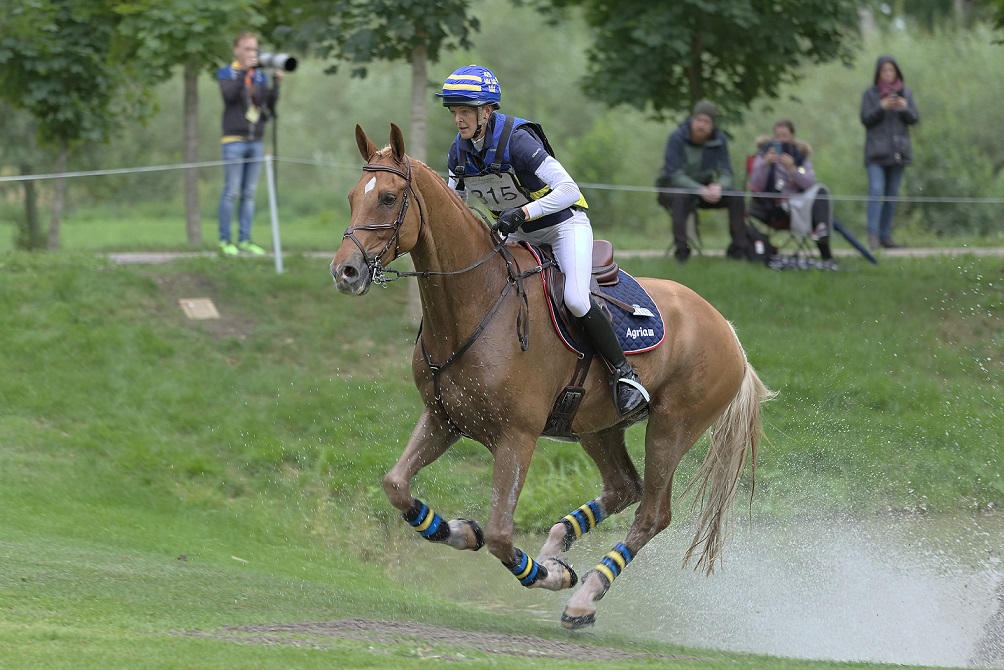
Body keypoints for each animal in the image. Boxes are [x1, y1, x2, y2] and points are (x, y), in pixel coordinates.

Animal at [333, 124, 771, 630]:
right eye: (352, 196)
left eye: (387, 198)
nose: (345, 272)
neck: (477, 301)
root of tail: (729, 333)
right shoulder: (444, 419)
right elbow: (397, 486)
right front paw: (462, 532)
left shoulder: (516, 438)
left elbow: (501, 535)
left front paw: (551, 576)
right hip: (596, 426)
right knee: (624, 487)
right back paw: (557, 545)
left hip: (672, 427)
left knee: (652, 514)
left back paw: (582, 594)